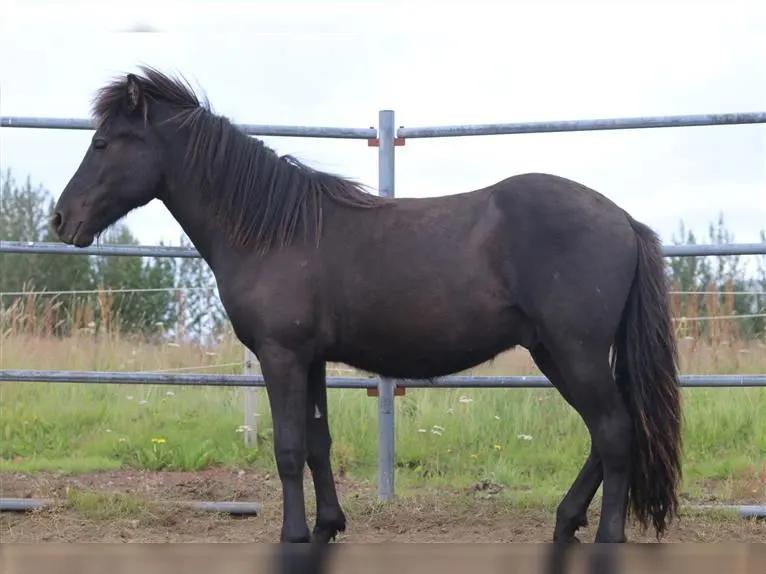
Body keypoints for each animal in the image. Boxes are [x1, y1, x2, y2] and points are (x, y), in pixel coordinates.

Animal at [52, 66, 683, 546]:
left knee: (615, 431)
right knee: (608, 434)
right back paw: (565, 521)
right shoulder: (310, 359)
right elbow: (317, 443)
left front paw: (293, 535)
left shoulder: (281, 356)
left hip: (574, 352)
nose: (62, 220)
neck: (273, 231)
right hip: (555, 352)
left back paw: (605, 536)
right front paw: (327, 527)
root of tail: (624, 220)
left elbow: (287, 449)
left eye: (102, 143)